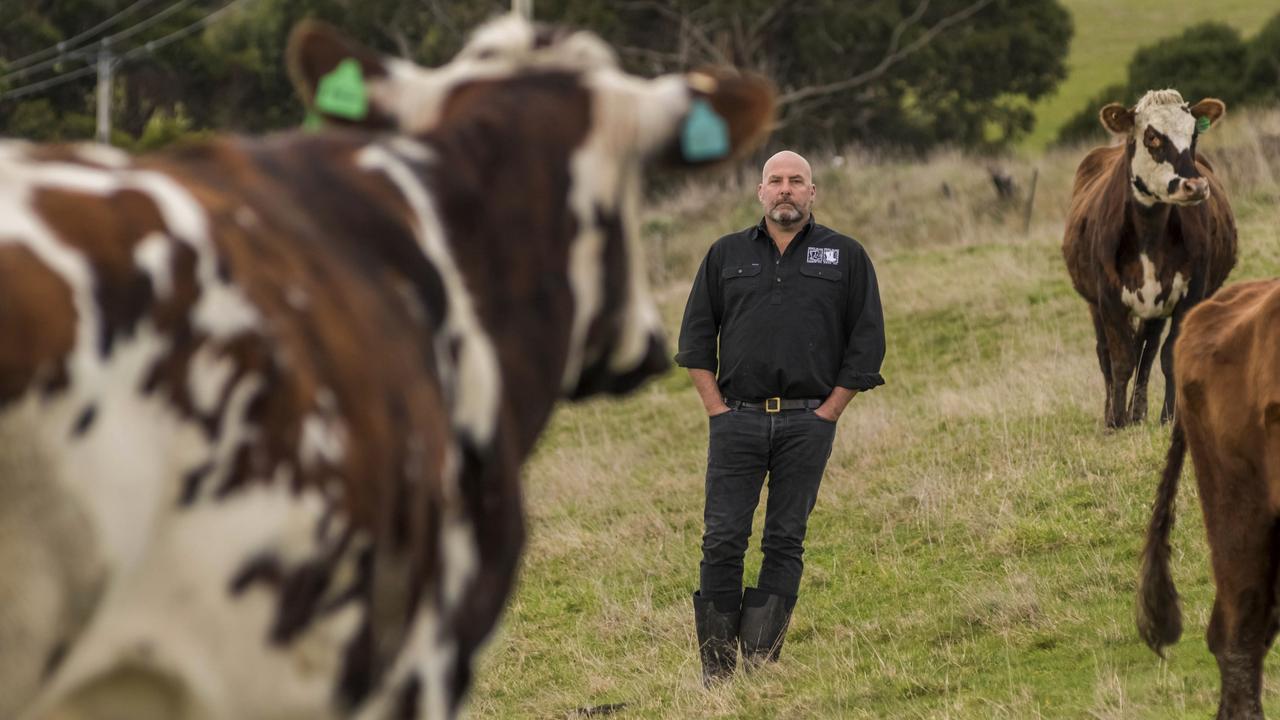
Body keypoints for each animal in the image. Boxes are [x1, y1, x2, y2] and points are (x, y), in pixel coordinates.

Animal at [1059, 89, 1239, 425]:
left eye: (1194, 134)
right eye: (1152, 136)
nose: (1195, 186)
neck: (1148, 234)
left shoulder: (1190, 292)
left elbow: (1166, 355)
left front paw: (1169, 416)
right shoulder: (1107, 297)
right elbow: (1120, 360)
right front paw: (1116, 421)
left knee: (1148, 347)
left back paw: (1139, 411)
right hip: (1094, 303)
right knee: (1106, 352)